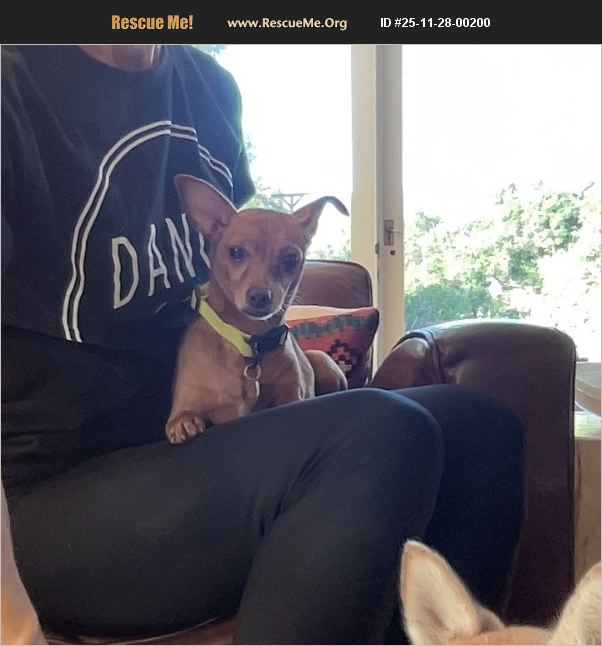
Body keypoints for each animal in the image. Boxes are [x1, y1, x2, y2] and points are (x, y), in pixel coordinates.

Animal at [165, 175, 349, 444]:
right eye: (236, 252)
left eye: (291, 259)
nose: (260, 296)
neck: (249, 341)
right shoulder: (185, 405)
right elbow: (182, 417)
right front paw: (186, 424)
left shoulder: (291, 396)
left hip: (321, 359)